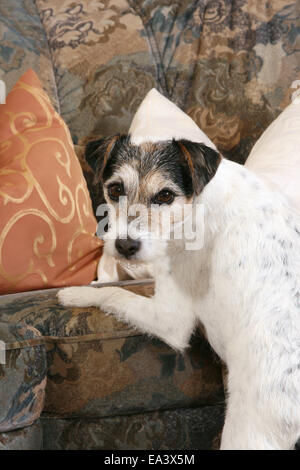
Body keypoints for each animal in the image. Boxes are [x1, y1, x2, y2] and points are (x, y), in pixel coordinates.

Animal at [58, 134, 300, 450]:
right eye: (115, 189)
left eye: (165, 196)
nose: (125, 246)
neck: (198, 201)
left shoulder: (170, 320)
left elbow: (115, 294)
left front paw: (75, 293)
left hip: (248, 432)